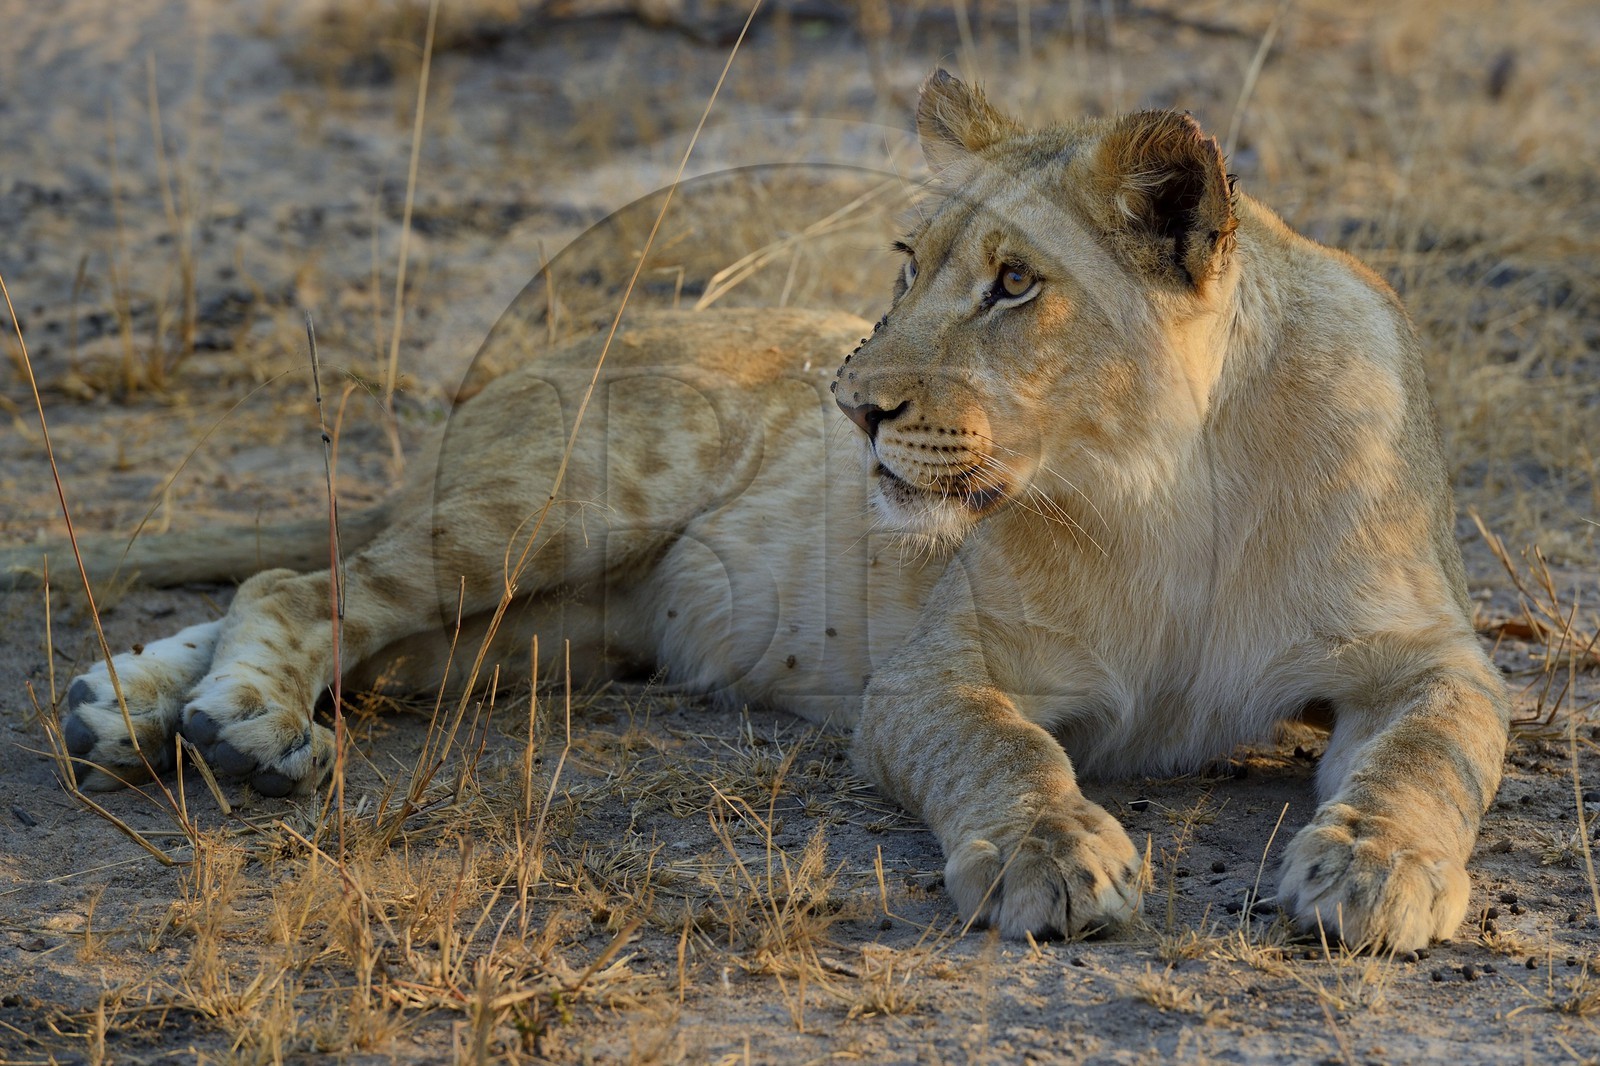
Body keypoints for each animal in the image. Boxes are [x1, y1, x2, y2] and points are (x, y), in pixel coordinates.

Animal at [15, 71, 1509, 951]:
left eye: (1016, 283)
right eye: (908, 261)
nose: (851, 403)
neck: (1169, 481)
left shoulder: (1433, 655)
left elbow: (1428, 756)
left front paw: (1374, 871)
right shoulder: (937, 672)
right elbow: (1007, 752)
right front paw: (1051, 855)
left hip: (545, 635)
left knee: (357, 629)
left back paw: (134, 708)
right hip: (572, 495)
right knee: (309, 586)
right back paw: (238, 726)